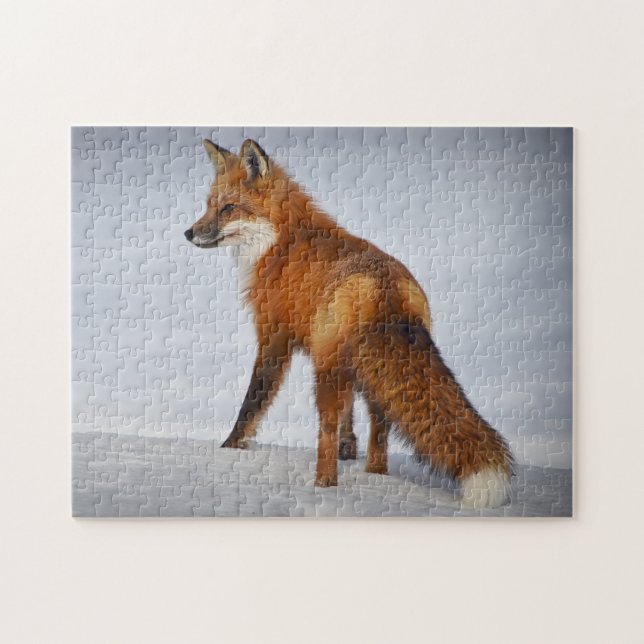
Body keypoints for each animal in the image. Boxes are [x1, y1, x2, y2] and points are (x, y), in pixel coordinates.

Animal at [184, 138, 514, 508]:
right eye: (209, 206)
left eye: (228, 208)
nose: (188, 233)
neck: (282, 242)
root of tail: (384, 288)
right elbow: (349, 419)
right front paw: (349, 448)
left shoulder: (274, 337)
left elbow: (253, 402)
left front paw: (229, 448)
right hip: (369, 374)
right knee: (380, 429)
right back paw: (375, 476)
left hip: (327, 373)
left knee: (326, 431)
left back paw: (323, 487)